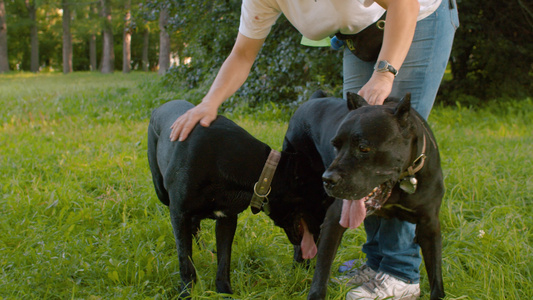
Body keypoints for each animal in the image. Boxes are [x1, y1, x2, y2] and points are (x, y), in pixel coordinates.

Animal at [147, 99, 328, 298]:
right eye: (323, 200)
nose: (323, 231)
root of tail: (159, 107)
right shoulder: (179, 214)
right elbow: (185, 259)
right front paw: (186, 293)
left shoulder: (227, 218)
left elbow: (224, 260)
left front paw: (224, 292)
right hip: (162, 192)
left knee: (196, 224)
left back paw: (204, 250)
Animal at [282, 91, 444, 300]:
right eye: (335, 145)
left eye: (364, 148)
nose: (327, 179)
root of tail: (313, 99)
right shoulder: (335, 218)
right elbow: (322, 272)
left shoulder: (429, 225)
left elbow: (436, 274)